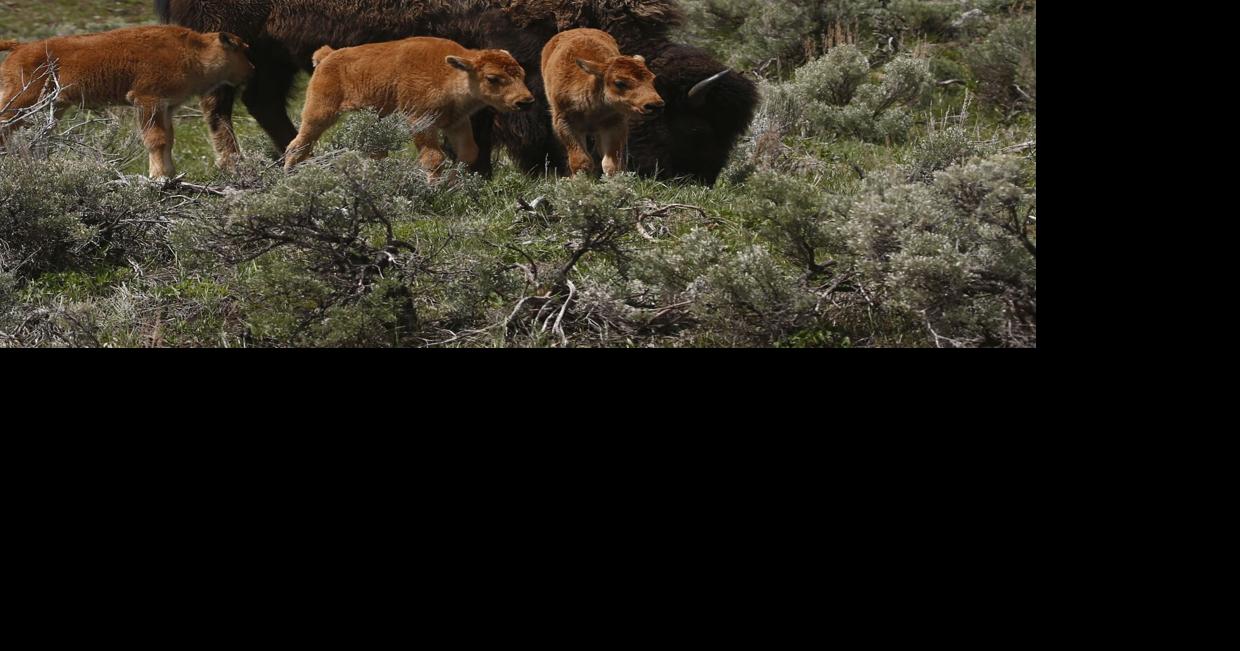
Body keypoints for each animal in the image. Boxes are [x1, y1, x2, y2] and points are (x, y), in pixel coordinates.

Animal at [154, 0, 759, 184]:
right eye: (690, 124)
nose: (700, 181)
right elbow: (502, 118)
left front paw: (480, 169)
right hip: (230, 37)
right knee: (218, 103)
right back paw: (235, 165)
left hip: (274, 51)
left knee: (265, 102)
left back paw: (287, 155)